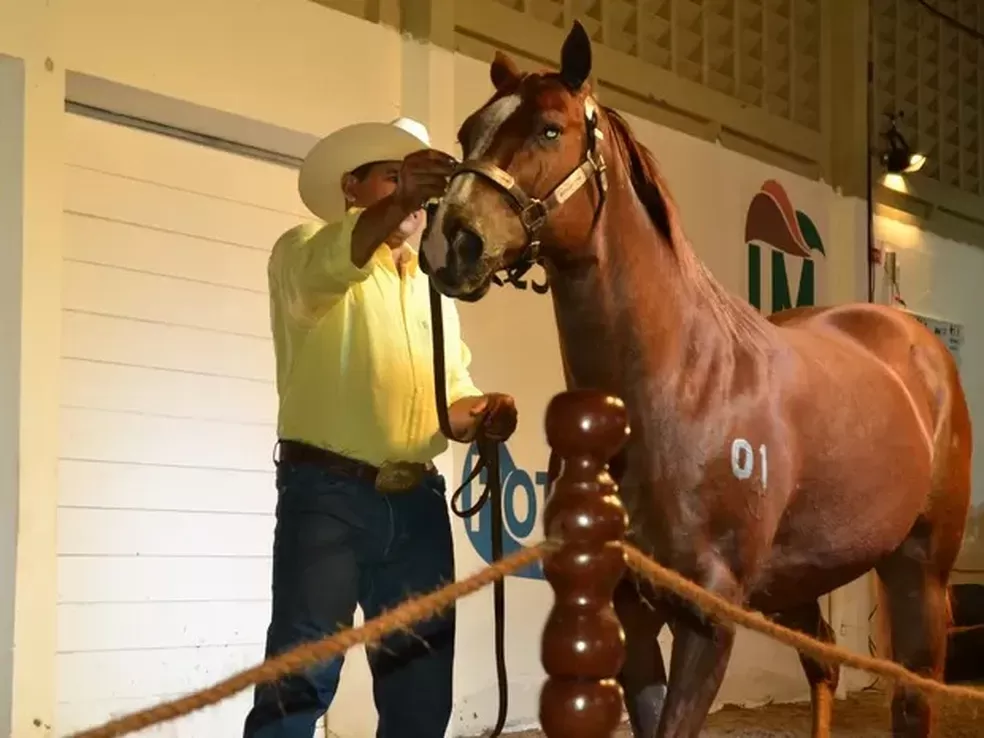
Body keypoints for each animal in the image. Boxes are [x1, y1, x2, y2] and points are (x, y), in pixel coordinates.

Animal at [418, 20, 972, 738]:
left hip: (917, 569)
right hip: (801, 581)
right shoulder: (629, 607)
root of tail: (919, 342)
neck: (676, 391)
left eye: (550, 129)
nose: (449, 242)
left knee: (911, 696)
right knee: (824, 667)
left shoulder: (708, 618)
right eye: (468, 132)